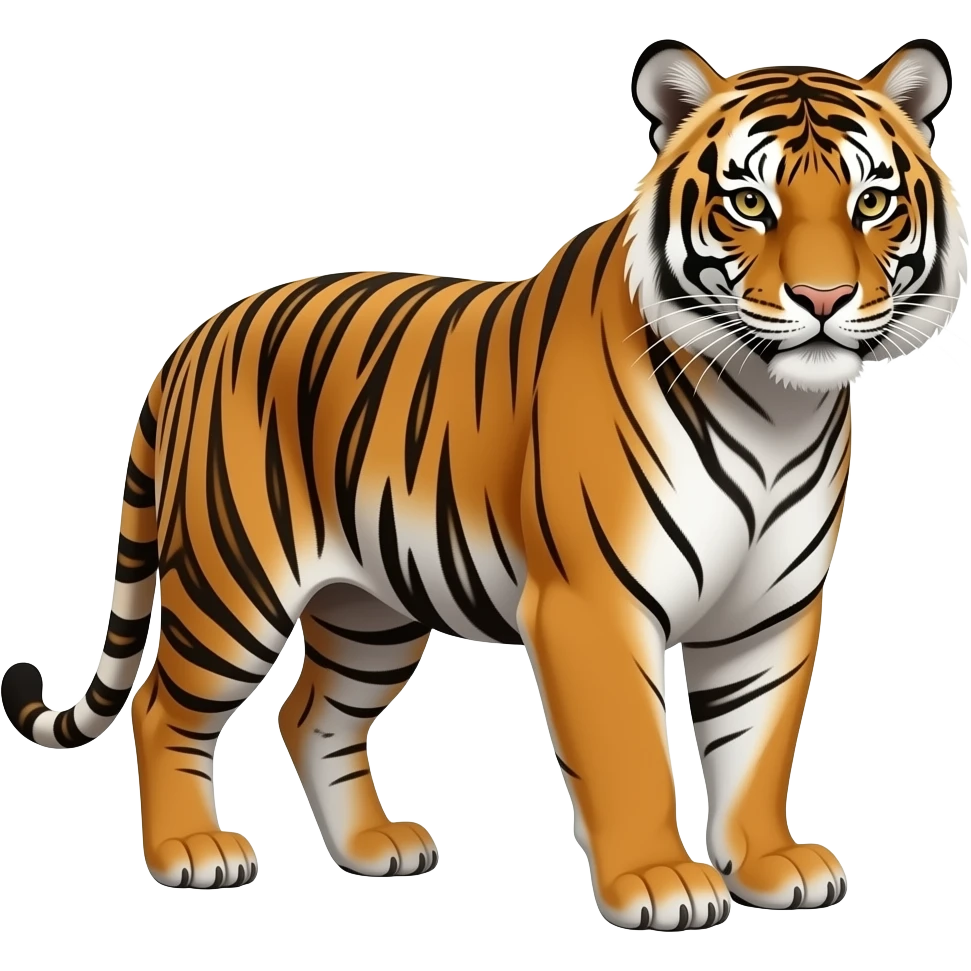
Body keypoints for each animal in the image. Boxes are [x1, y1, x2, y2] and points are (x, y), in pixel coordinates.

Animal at [2, 36, 966, 931]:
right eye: (749, 204)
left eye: (871, 201)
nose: (823, 298)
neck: (775, 407)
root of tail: (192, 339)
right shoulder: (594, 602)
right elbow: (627, 750)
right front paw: (658, 881)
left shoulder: (769, 607)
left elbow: (755, 743)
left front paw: (769, 863)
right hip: (233, 583)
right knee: (163, 705)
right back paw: (190, 851)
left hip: (371, 608)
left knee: (312, 715)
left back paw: (372, 846)